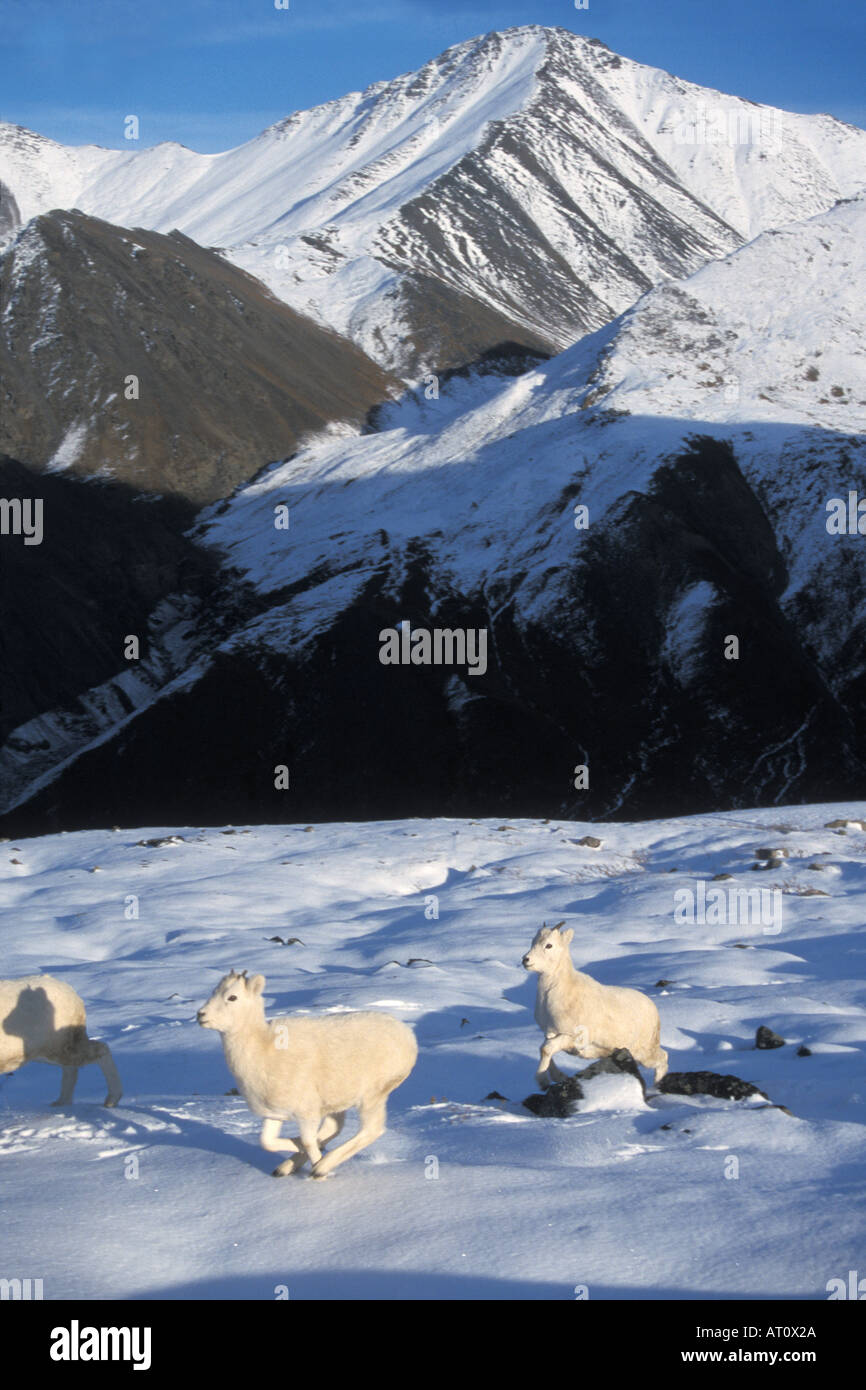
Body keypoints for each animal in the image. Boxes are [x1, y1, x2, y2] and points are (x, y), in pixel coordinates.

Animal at [0, 978, 123, 1106]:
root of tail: (72, 994)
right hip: (47, 1050)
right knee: (71, 1069)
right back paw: (60, 1103)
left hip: (61, 1046)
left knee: (100, 1050)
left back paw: (111, 1101)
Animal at [200, 973, 422, 1178]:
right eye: (214, 992)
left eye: (232, 997)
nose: (200, 1015)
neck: (264, 1048)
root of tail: (408, 1037)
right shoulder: (274, 1113)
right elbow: (268, 1142)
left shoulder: (307, 1112)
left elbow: (306, 1141)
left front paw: (317, 1166)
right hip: (338, 1102)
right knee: (334, 1128)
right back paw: (287, 1167)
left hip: (372, 1095)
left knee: (371, 1130)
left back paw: (322, 1167)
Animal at [522, 928, 670, 1089]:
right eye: (533, 941)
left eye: (549, 945)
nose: (526, 960)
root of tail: (653, 1009)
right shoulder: (550, 1034)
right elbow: (544, 1050)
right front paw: (558, 1077)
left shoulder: (571, 1037)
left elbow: (546, 1049)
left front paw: (542, 1081)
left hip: (643, 1052)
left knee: (663, 1058)